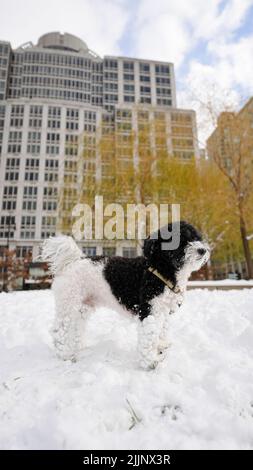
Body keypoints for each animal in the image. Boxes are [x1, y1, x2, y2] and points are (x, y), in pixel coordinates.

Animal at [42, 222, 211, 370]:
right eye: (181, 240)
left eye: (197, 237)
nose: (202, 250)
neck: (161, 270)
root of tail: (73, 261)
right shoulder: (149, 310)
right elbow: (149, 336)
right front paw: (150, 362)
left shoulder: (163, 310)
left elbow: (160, 330)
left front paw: (160, 346)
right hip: (68, 302)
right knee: (59, 330)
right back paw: (65, 354)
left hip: (83, 306)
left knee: (76, 327)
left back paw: (79, 346)